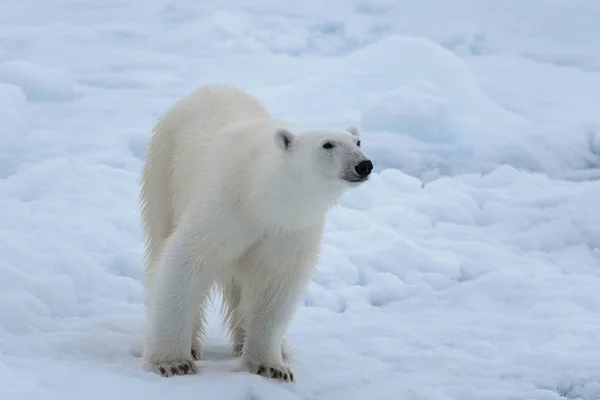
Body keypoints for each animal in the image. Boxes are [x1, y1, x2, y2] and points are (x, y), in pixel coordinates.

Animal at [142, 83, 376, 382]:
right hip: (163, 171)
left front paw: (271, 366)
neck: (259, 197)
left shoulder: (289, 229)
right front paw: (172, 362)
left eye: (357, 142)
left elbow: (276, 284)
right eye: (327, 144)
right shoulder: (225, 209)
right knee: (160, 237)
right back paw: (193, 344)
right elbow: (186, 261)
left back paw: (267, 345)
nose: (363, 165)